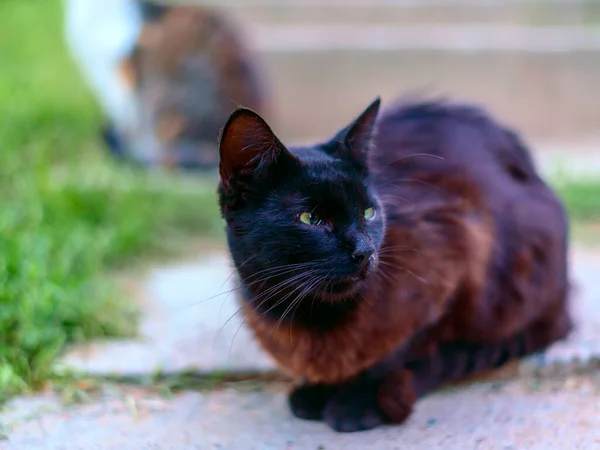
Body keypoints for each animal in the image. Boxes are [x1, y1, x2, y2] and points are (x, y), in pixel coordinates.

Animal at [217, 96, 572, 430]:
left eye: (369, 212)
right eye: (310, 219)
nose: (365, 251)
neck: (316, 316)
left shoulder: (461, 245)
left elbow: (403, 350)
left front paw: (360, 401)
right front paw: (320, 390)